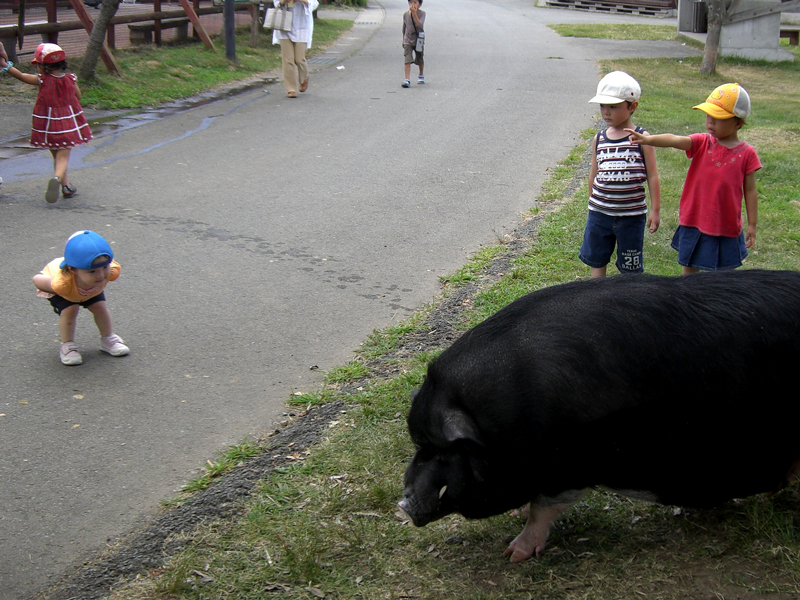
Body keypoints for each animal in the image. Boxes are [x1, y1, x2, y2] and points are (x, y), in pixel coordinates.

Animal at [400, 272, 800, 564]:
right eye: (418, 445)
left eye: (440, 452)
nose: (403, 503)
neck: (502, 424)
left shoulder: (565, 466)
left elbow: (543, 509)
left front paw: (513, 554)